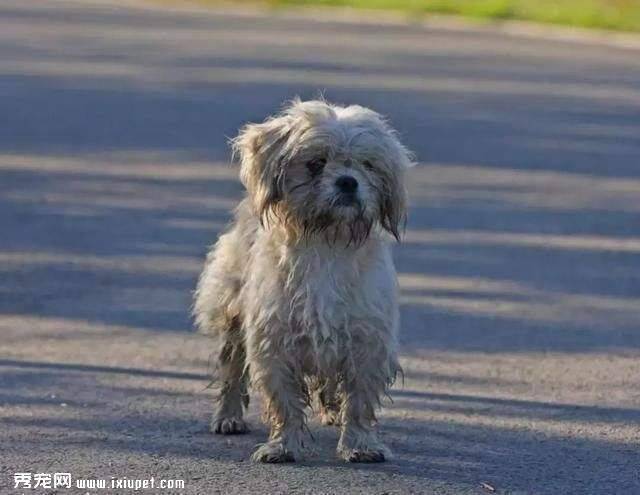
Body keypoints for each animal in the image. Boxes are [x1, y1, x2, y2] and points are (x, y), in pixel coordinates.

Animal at [194, 100, 416, 464]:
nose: (348, 182)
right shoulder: (273, 342)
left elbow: (360, 401)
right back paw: (228, 416)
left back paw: (333, 411)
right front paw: (283, 445)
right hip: (233, 313)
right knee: (232, 368)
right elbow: (283, 402)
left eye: (367, 164)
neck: (327, 241)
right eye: (315, 163)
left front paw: (360, 444)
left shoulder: (366, 342)